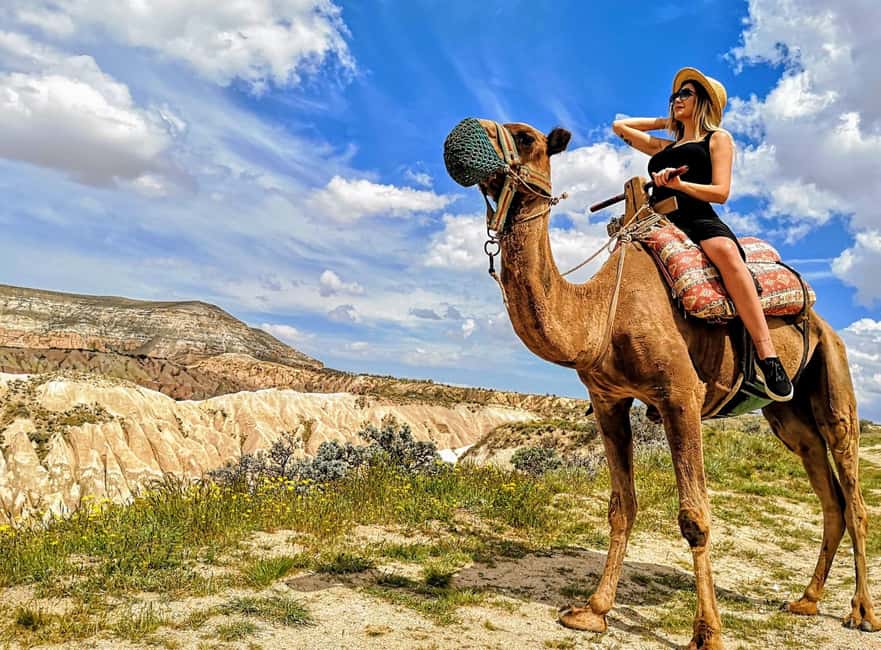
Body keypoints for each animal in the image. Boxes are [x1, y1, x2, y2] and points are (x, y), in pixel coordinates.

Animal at [449, 119, 877, 649]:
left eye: (525, 137)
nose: (458, 136)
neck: (600, 314)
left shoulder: (680, 396)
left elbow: (695, 518)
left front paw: (707, 632)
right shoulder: (608, 400)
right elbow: (621, 506)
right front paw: (593, 610)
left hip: (834, 371)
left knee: (853, 490)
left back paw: (862, 612)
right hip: (788, 417)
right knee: (828, 492)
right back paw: (807, 600)